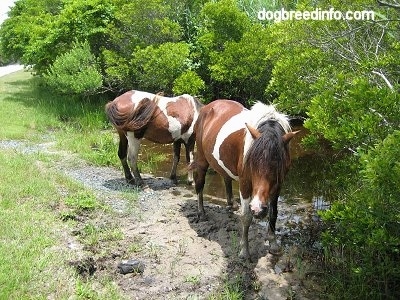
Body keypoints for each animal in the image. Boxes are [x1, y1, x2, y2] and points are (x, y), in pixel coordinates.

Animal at [194, 100, 296, 260]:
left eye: (277, 165)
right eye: (252, 163)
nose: (259, 209)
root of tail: (207, 107)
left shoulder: (278, 185)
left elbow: (274, 213)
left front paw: (273, 243)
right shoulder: (245, 183)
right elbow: (246, 216)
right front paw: (244, 250)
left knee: (226, 178)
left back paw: (231, 205)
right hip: (202, 159)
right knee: (200, 183)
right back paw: (201, 213)